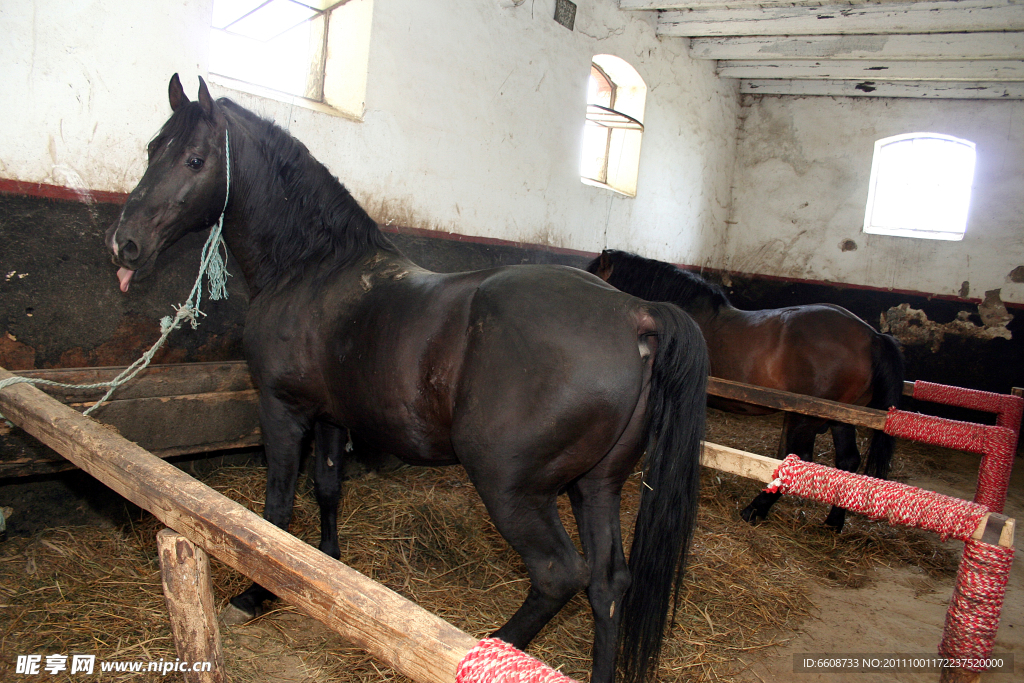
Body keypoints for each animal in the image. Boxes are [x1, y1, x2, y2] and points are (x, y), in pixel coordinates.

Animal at [105, 74, 712, 683]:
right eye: (152, 149)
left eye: (194, 158)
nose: (124, 244)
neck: (313, 268)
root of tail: (633, 313)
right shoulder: (331, 417)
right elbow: (327, 488)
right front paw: (323, 561)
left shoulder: (282, 410)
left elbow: (275, 511)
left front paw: (255, 595)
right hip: (596, 486)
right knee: (608, 585)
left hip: (512, 488)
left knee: (559, 575)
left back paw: (491, 645)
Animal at [585, 248, 905, 532]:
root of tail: (872, 335)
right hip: (840, 420)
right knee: (848, 463)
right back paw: (833, 521)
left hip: (805, 421)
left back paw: (756, 508)